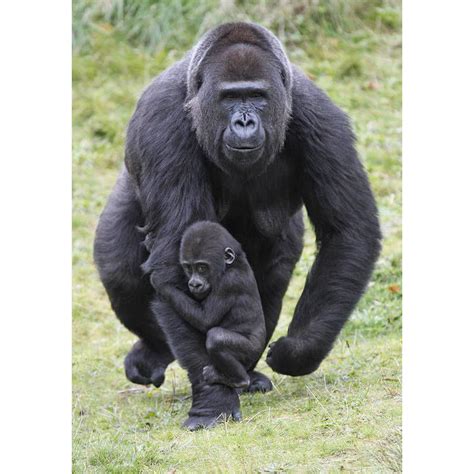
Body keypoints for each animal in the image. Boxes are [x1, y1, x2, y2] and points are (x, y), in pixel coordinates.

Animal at [161, 220, 266, 386]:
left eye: (202, 268)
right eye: (188, 268)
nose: (194, 284)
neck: (233, 264)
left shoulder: (228, 282)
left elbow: (206, 320)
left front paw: (161, 285)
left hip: (251, 353)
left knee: (216, 338)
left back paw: (239, 380)